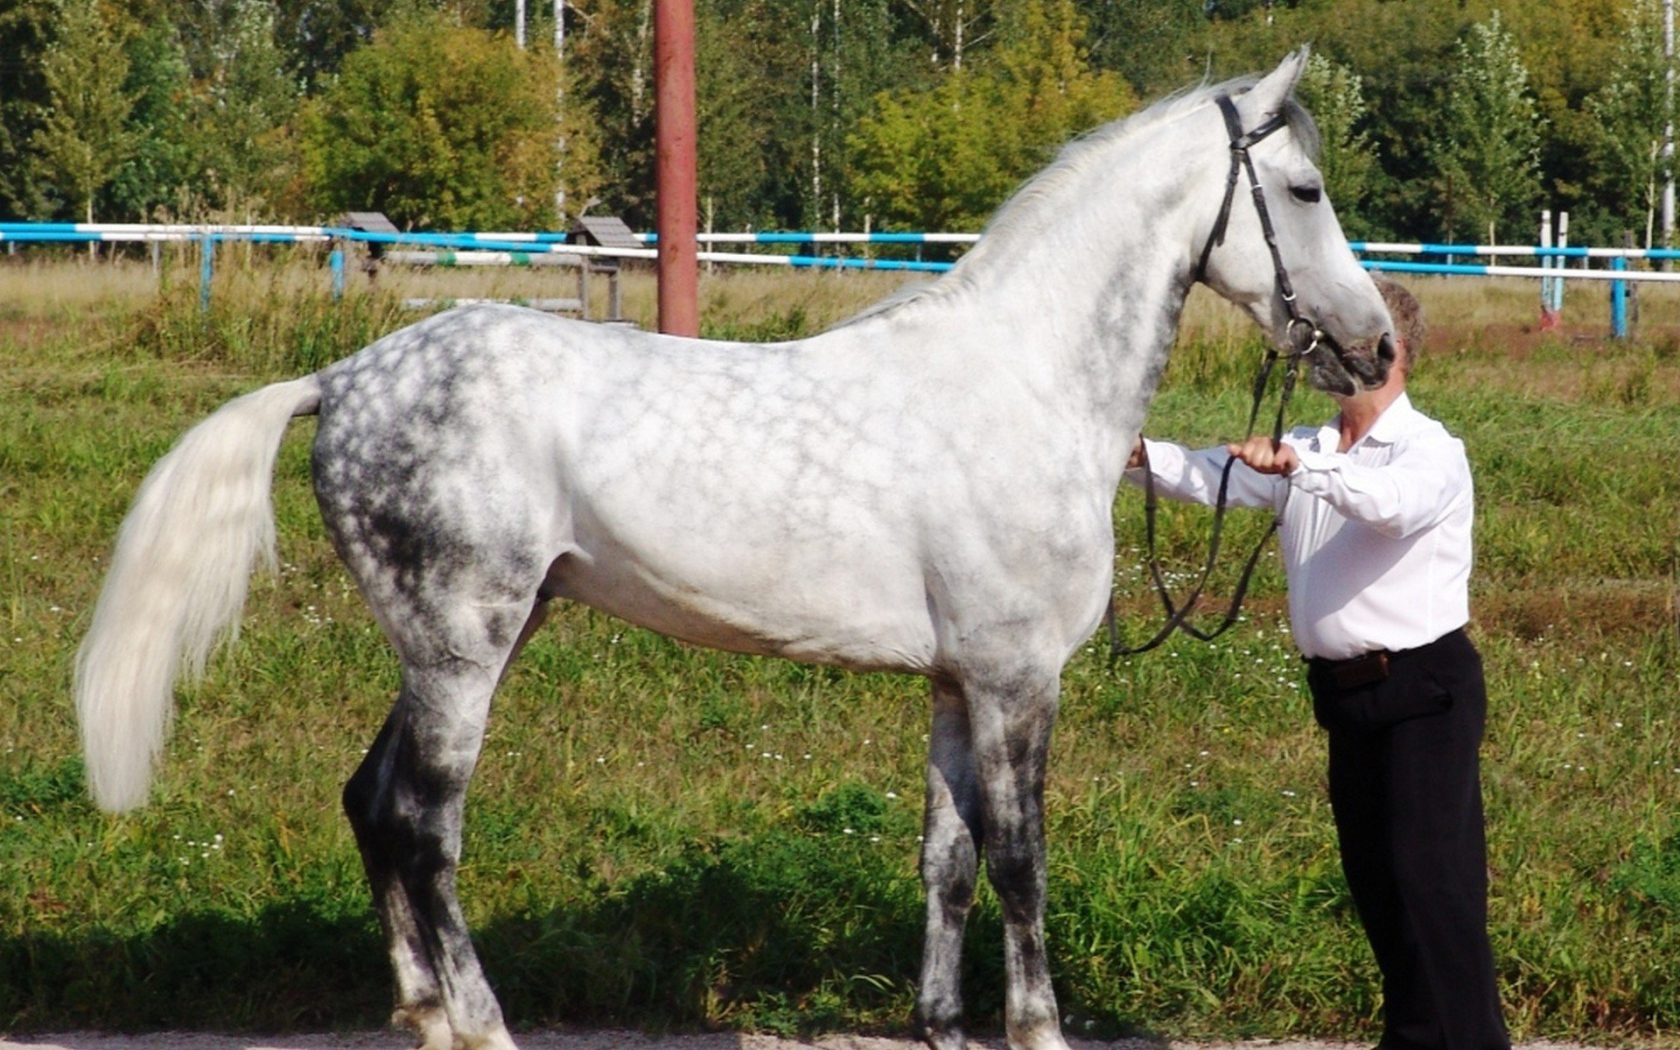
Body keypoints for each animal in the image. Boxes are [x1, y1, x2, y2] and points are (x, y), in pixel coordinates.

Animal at [75, 51, 1393, 1050]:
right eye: (1305, 189)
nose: (1379, 347)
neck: (1019, 384)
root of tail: (343, 378)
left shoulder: (958, 681)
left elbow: (949, 859)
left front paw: (940, 1026)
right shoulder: (1020, 682)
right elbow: (1022, 864)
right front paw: (1037, 1030)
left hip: (460, 642)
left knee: (369, 802)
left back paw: (425, 1015)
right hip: (461, 649)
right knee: (422, 828)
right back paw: (482, 1022)